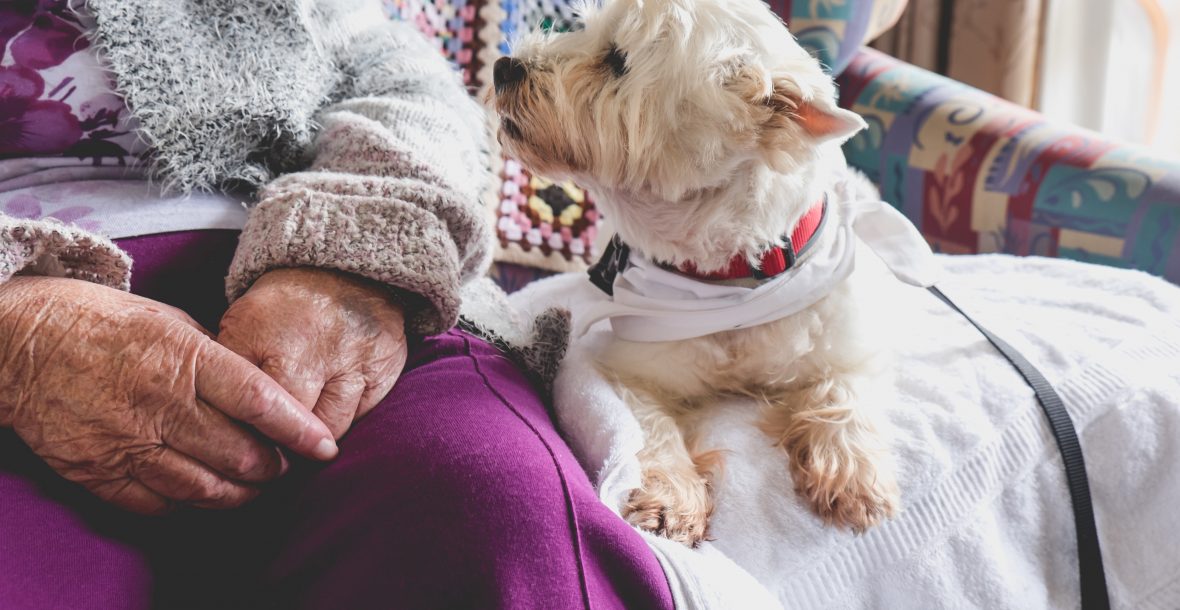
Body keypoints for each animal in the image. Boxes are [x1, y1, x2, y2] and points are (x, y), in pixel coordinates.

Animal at [488, 0, 901, 545]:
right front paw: (669, 499)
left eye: (617, 59)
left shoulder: (848, 341)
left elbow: (845, 389)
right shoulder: (628, 366)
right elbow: (645, 426)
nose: (502, 67)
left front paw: (853, 474)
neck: (736, 282)